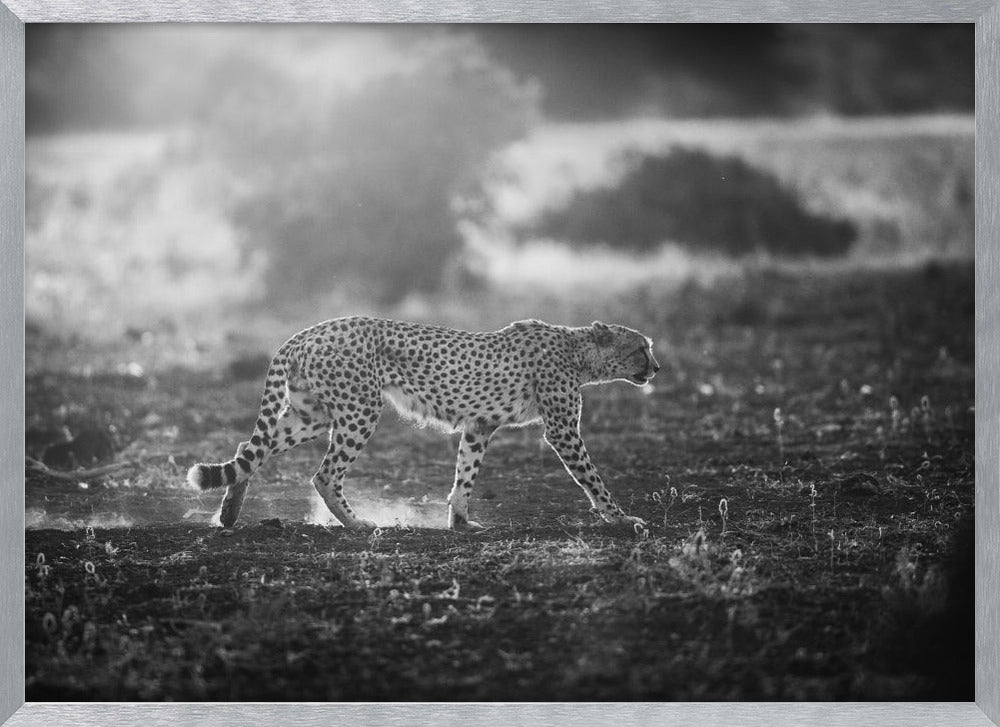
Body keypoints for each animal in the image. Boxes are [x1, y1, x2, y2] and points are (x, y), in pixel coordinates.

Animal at [186, 316, 660, 531]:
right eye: (641, 348)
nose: (656, 368)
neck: (580, 352)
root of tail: (307, 331)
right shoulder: (561, 430)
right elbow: (592, 477)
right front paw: (621, 517)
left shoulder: (479, 426)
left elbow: (465, 474)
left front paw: (461, 522)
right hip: (359, 409)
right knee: (324, 473)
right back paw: (357, 524)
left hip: (311, 414)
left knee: (250, 451)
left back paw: (228, 513)